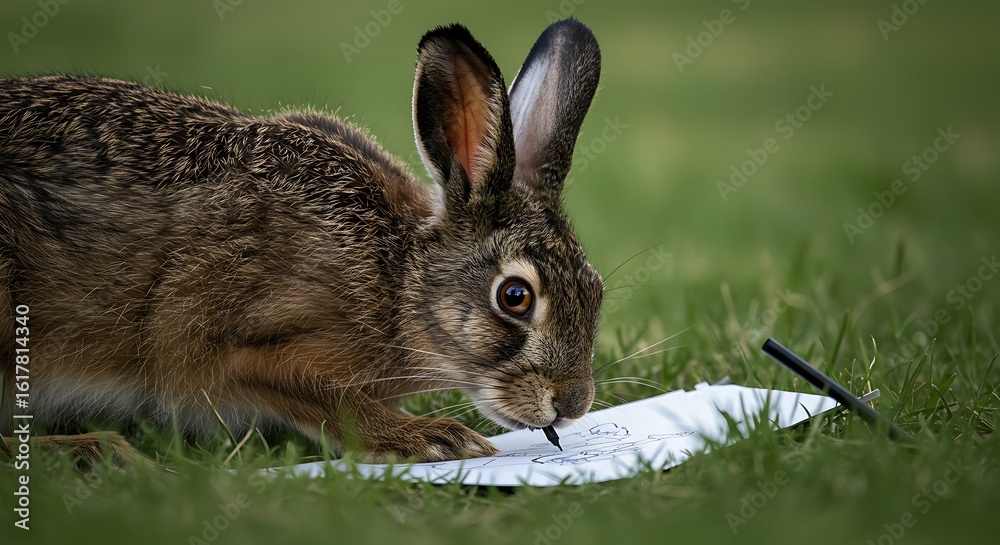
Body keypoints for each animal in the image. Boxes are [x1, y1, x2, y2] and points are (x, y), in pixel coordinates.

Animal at [0, 18, 604, 463]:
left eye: (595, 290)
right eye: (514, 297)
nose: (573, 404)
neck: (396, 278)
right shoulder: (242, 345)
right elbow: (330, 398)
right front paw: (432, 437)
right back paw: (97, 450)